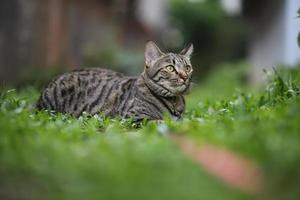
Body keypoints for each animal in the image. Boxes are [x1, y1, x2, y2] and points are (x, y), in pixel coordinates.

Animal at [37, 41, 193, 121]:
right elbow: (161, 121)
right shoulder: (134, 118)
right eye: (170, 68)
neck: (174, 101)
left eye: (188, 68)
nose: (185, 77)